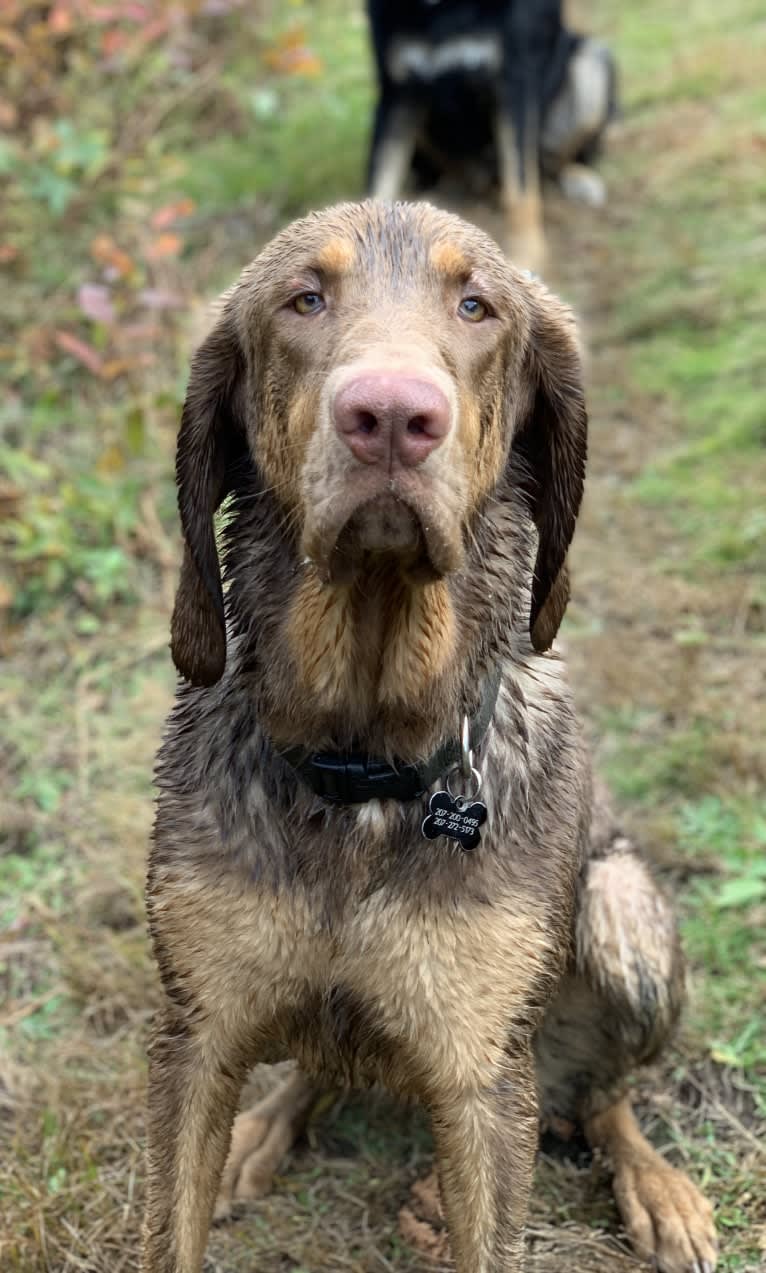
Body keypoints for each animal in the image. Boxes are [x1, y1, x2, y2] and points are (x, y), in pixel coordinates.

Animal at [141, 201, 717, 1273]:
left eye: (476, 305)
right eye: (304, 299)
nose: (392, 416)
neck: (363, 759)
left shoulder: (484, 1084)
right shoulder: (193, 1038)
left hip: (623, 918)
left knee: (604, 1095)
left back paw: (656, 1188)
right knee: (316, 1063)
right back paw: (265, 1127)